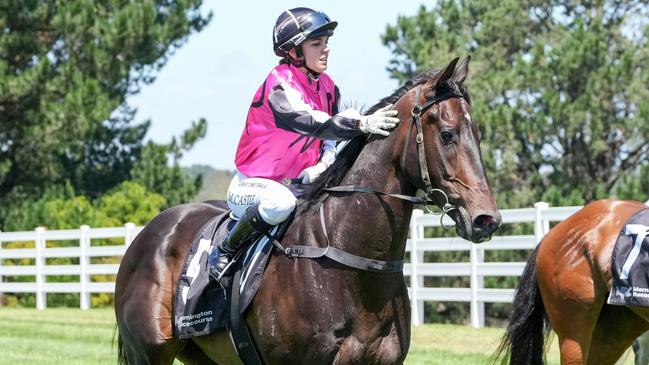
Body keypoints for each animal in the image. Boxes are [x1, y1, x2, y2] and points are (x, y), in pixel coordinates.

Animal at [115, 57, 502, 364]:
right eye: (448, 134)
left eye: (479, 134)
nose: (486, 220)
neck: (352, 262)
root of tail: (146, 235)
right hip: (147, 353)